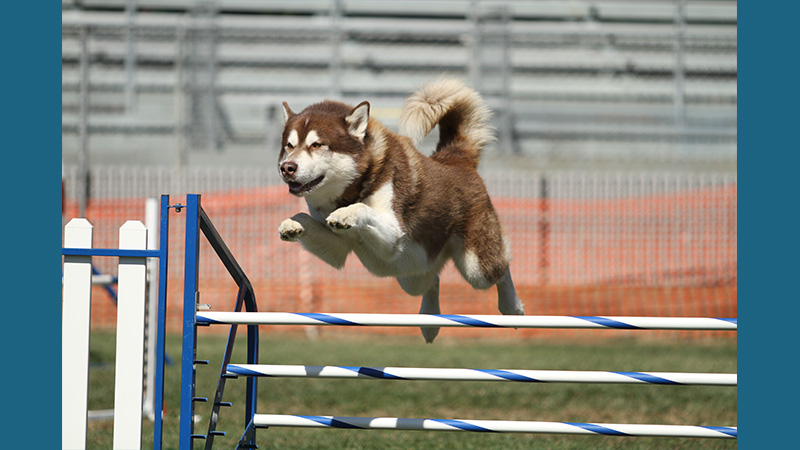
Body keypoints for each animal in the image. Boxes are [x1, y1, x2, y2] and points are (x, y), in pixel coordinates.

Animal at [276, 77, 524, 342]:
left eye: (317, 144)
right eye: (289, 145)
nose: (287, 167)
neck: (353, 187)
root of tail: (456, 158)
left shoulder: (395, 235)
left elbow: (362, 208)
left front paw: (346, 213)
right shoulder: (338, 248)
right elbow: (307, 220)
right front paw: (293, 224)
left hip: (476, 267)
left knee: (501, 270)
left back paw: (513, 308)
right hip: (412, 272)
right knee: (432, 279)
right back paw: (429, 320)